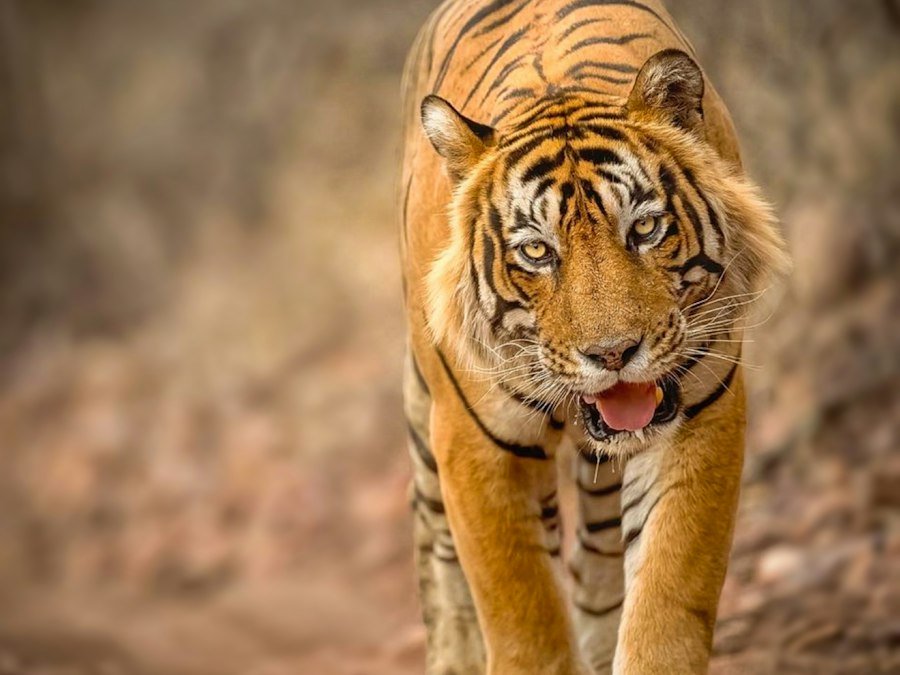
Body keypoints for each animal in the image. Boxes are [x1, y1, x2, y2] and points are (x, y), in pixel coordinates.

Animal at [399, 1, 789, 673]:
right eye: (536, 252)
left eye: (646, 228)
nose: (613, 354)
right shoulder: (474, 443)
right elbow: (523, 617)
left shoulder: (700, 411)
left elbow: (667, 594)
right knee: (435, 542)